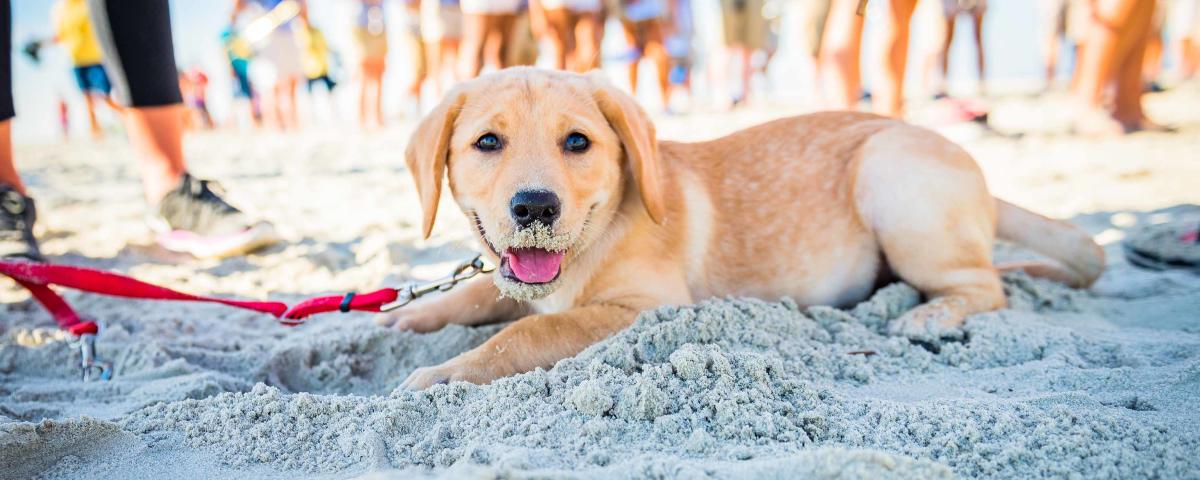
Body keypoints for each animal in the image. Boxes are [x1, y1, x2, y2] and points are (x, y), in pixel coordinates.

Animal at [386, 67, 1104, 388]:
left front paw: (442, 375)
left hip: (892, 176)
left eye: (577, 142)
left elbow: (531, 330)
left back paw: (928, 313)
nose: (535, 208)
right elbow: (479, 292)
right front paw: (408, 316)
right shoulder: (517, 278)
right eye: (487, 142)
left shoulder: (646, 306)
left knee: (987, 286)